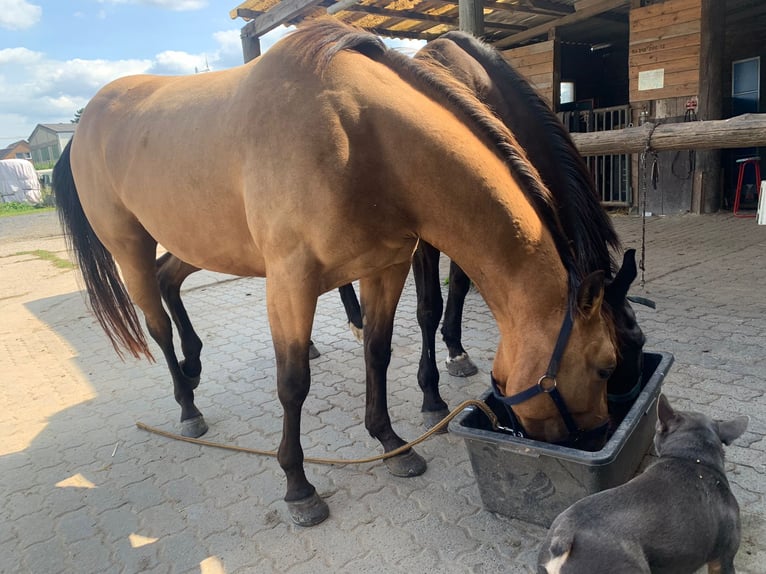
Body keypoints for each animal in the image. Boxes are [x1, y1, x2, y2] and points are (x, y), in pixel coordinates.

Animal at [52, 21, 616, 528]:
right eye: (607, 366)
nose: (596, 440)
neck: (361, 137)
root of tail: (81, 129)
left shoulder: (385, 266)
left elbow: (378, 352)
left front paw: (391, 443)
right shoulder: (291, 282)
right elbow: (293, 383)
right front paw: (298, 487)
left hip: (202, 239)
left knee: (171, 280)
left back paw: (194, 366)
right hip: (130, 248)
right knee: (158, 325)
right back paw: (187, 404)